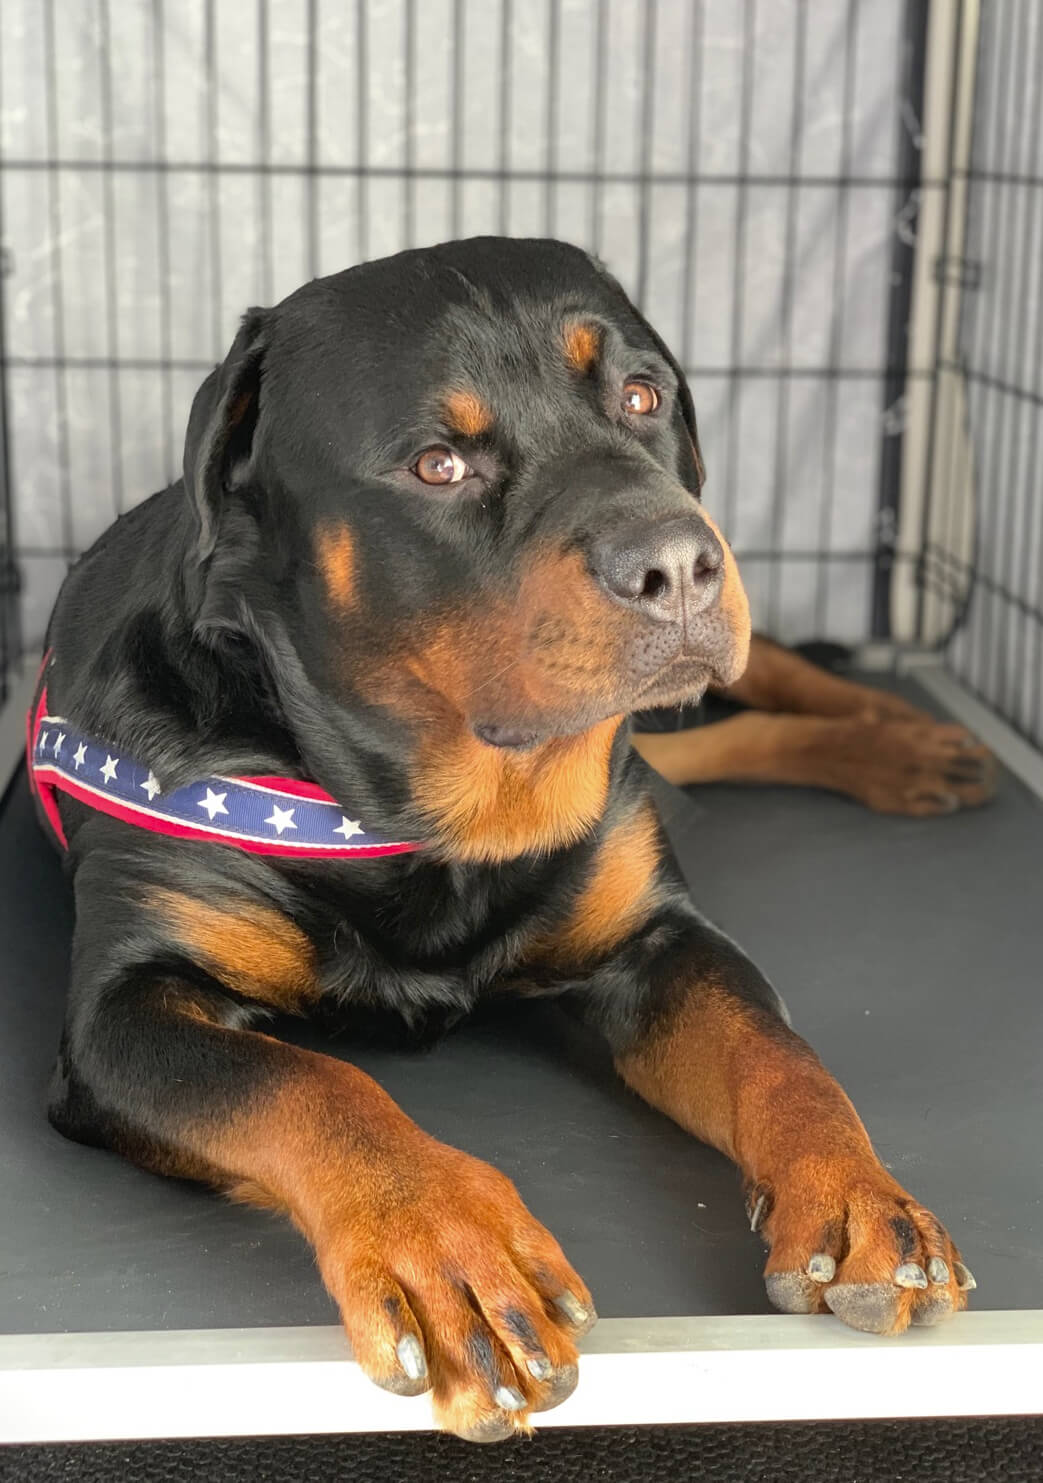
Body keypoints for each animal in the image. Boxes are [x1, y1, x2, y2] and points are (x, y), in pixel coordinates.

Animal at [34, 240, 979, 1435]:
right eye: (439, 465)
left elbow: (780, 1053)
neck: (436, 819)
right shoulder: (124, 1012)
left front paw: (857, 1192)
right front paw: (445, 1242)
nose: (676, 561)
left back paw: (901, 738)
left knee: (756, 688)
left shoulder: (655, 939)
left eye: (641, 397)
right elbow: (311, 1085)